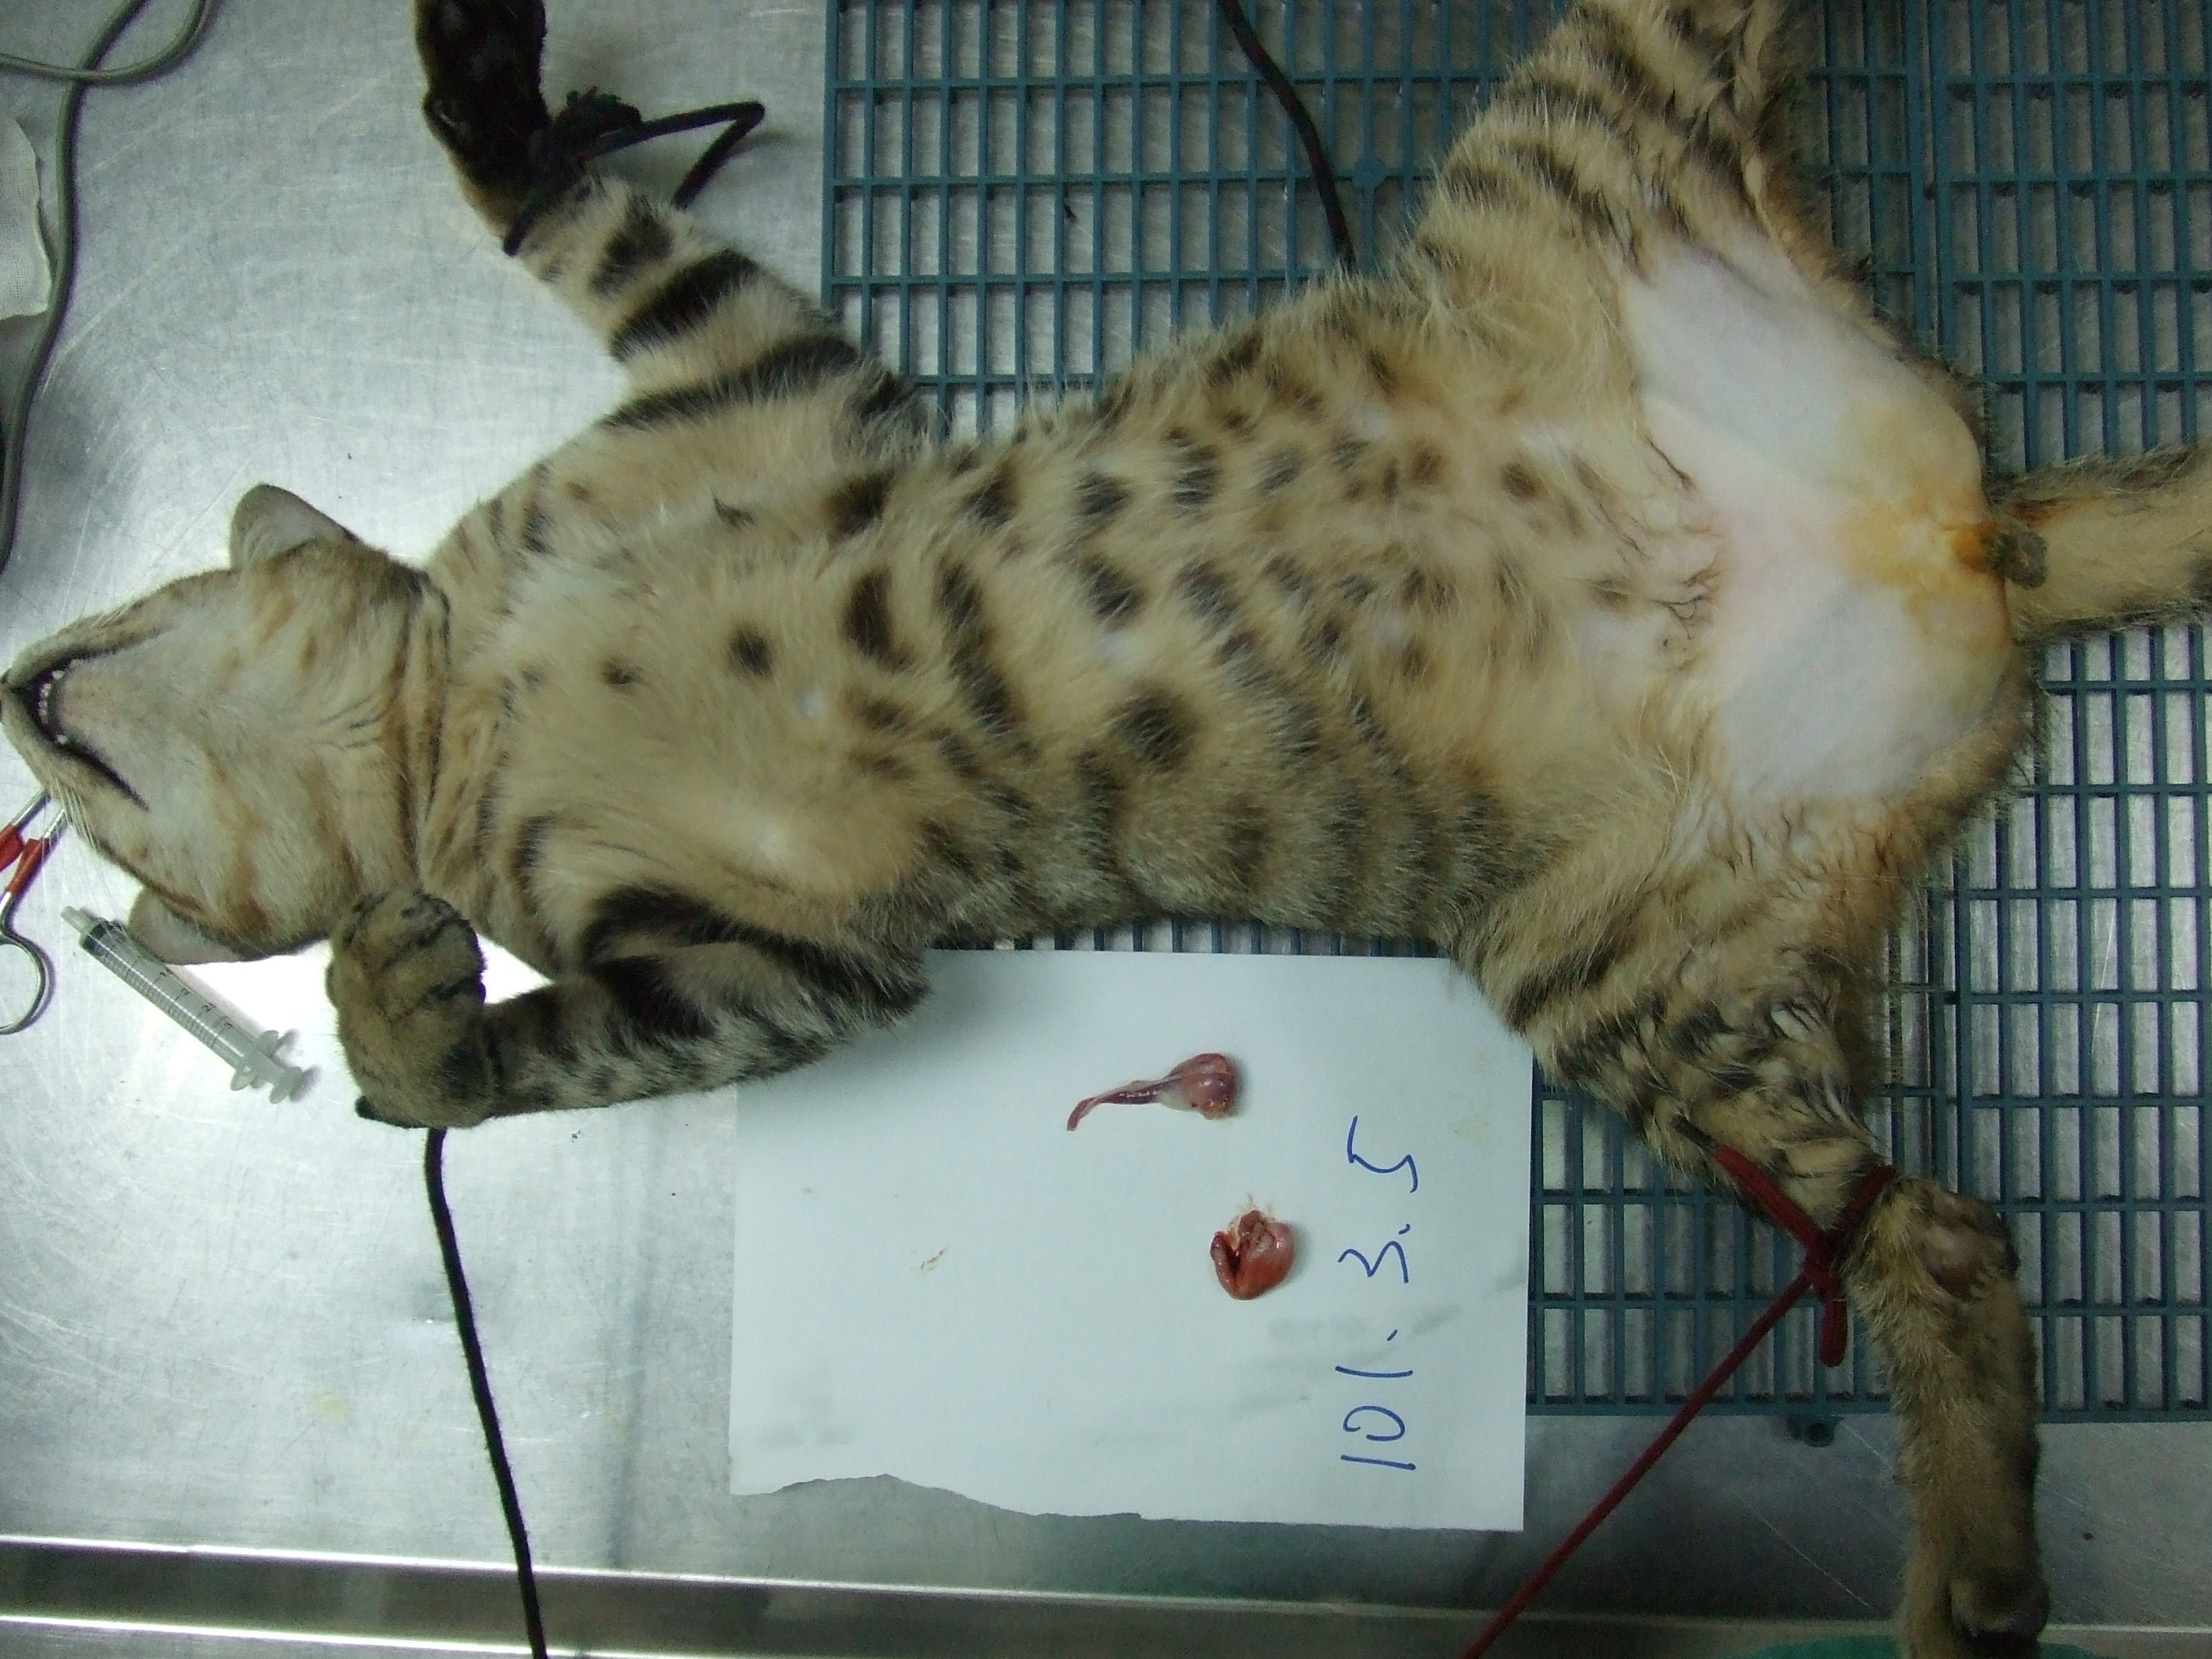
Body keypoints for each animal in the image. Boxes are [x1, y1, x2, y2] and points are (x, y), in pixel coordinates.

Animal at [7, 0, 2211, 1650]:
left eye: (109, 662)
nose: (24, 680)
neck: (461, 706)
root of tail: (1951, 537)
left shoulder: (757, 388)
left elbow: (573, 224)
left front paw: (491, 91)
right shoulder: (784, 961)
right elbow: (508, 1050)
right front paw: (393, 989)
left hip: (1579, 120)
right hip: (1628, 976)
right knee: (1935, 1233)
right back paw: (1974, 1574)